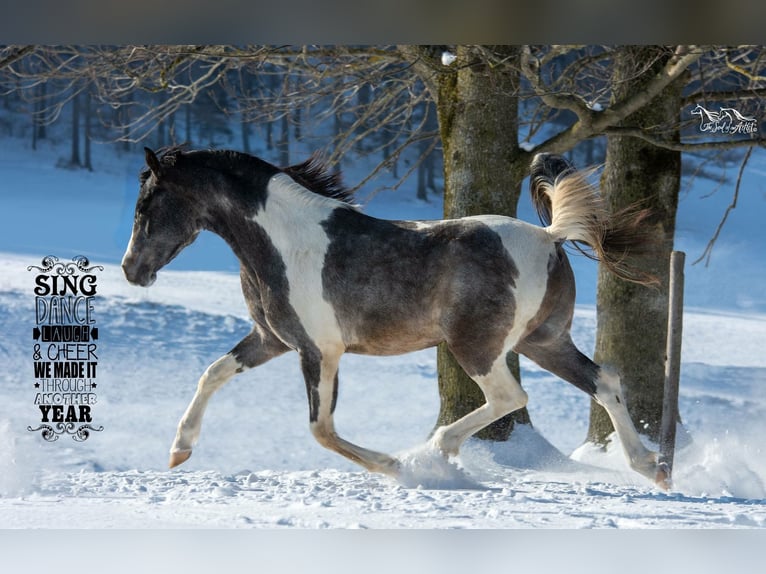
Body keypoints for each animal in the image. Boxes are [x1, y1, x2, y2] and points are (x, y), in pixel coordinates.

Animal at [121, 146, 669, 489]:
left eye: (147, 203)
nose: (131, 269)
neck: (281, 242)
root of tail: (548, 238)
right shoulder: (272, 339)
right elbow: (212, 372)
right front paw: (178, 450)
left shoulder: (320, 351)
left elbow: (321, 429)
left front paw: (392, 467)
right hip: (545, 342)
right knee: (604, 382)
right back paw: (653, 468)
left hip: (479, 347)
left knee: (511, 396)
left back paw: (432, 453)